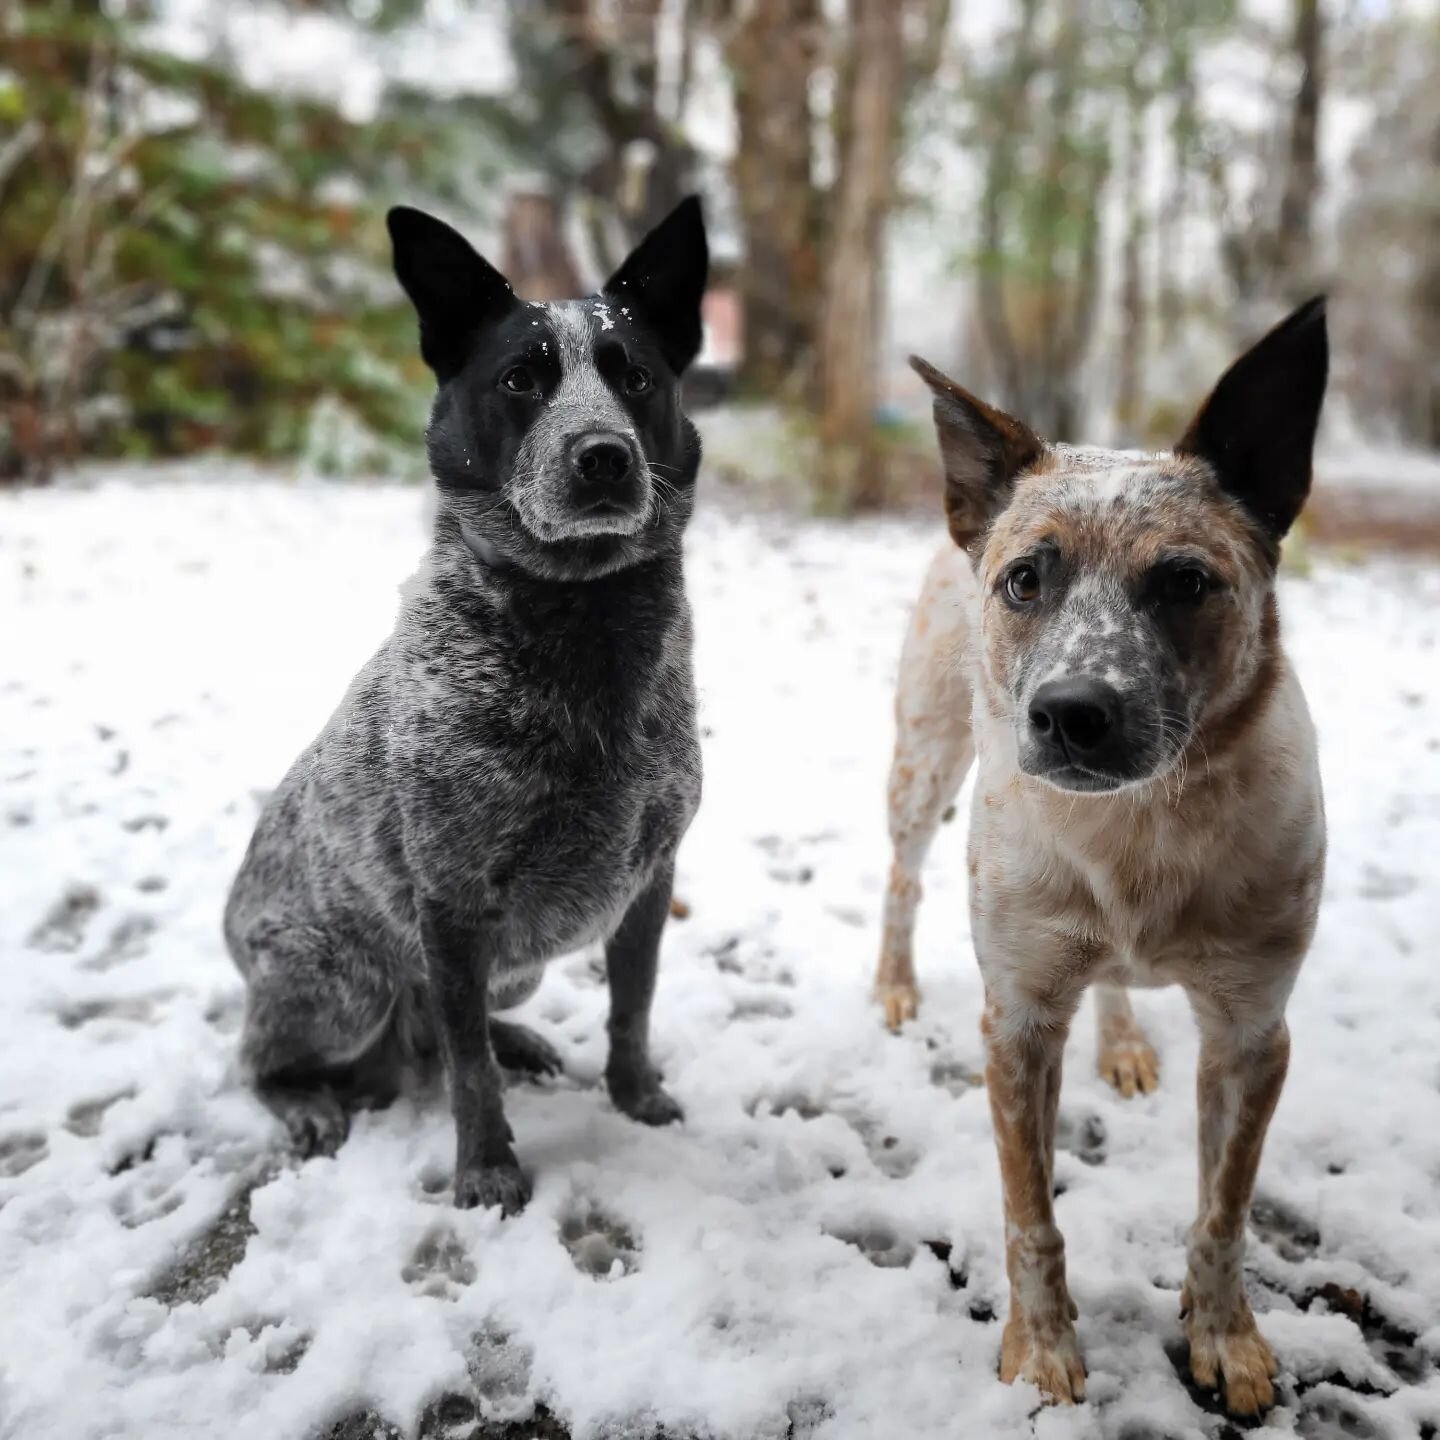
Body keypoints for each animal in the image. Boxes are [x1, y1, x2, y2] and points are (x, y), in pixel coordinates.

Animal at [223, 200, 708, 1215]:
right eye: (521, 378)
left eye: (635, 377)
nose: (604, 458)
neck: (584, 620)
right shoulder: (450, 899)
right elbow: (469, 1076)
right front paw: (486, 1171)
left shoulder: (650, 879)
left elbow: (632, 1007)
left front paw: (636, 1097)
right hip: (342, 983)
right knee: (269, 1059)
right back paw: (307, 1102)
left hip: (510, 974)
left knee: (459, 1029)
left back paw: (513, 1041)